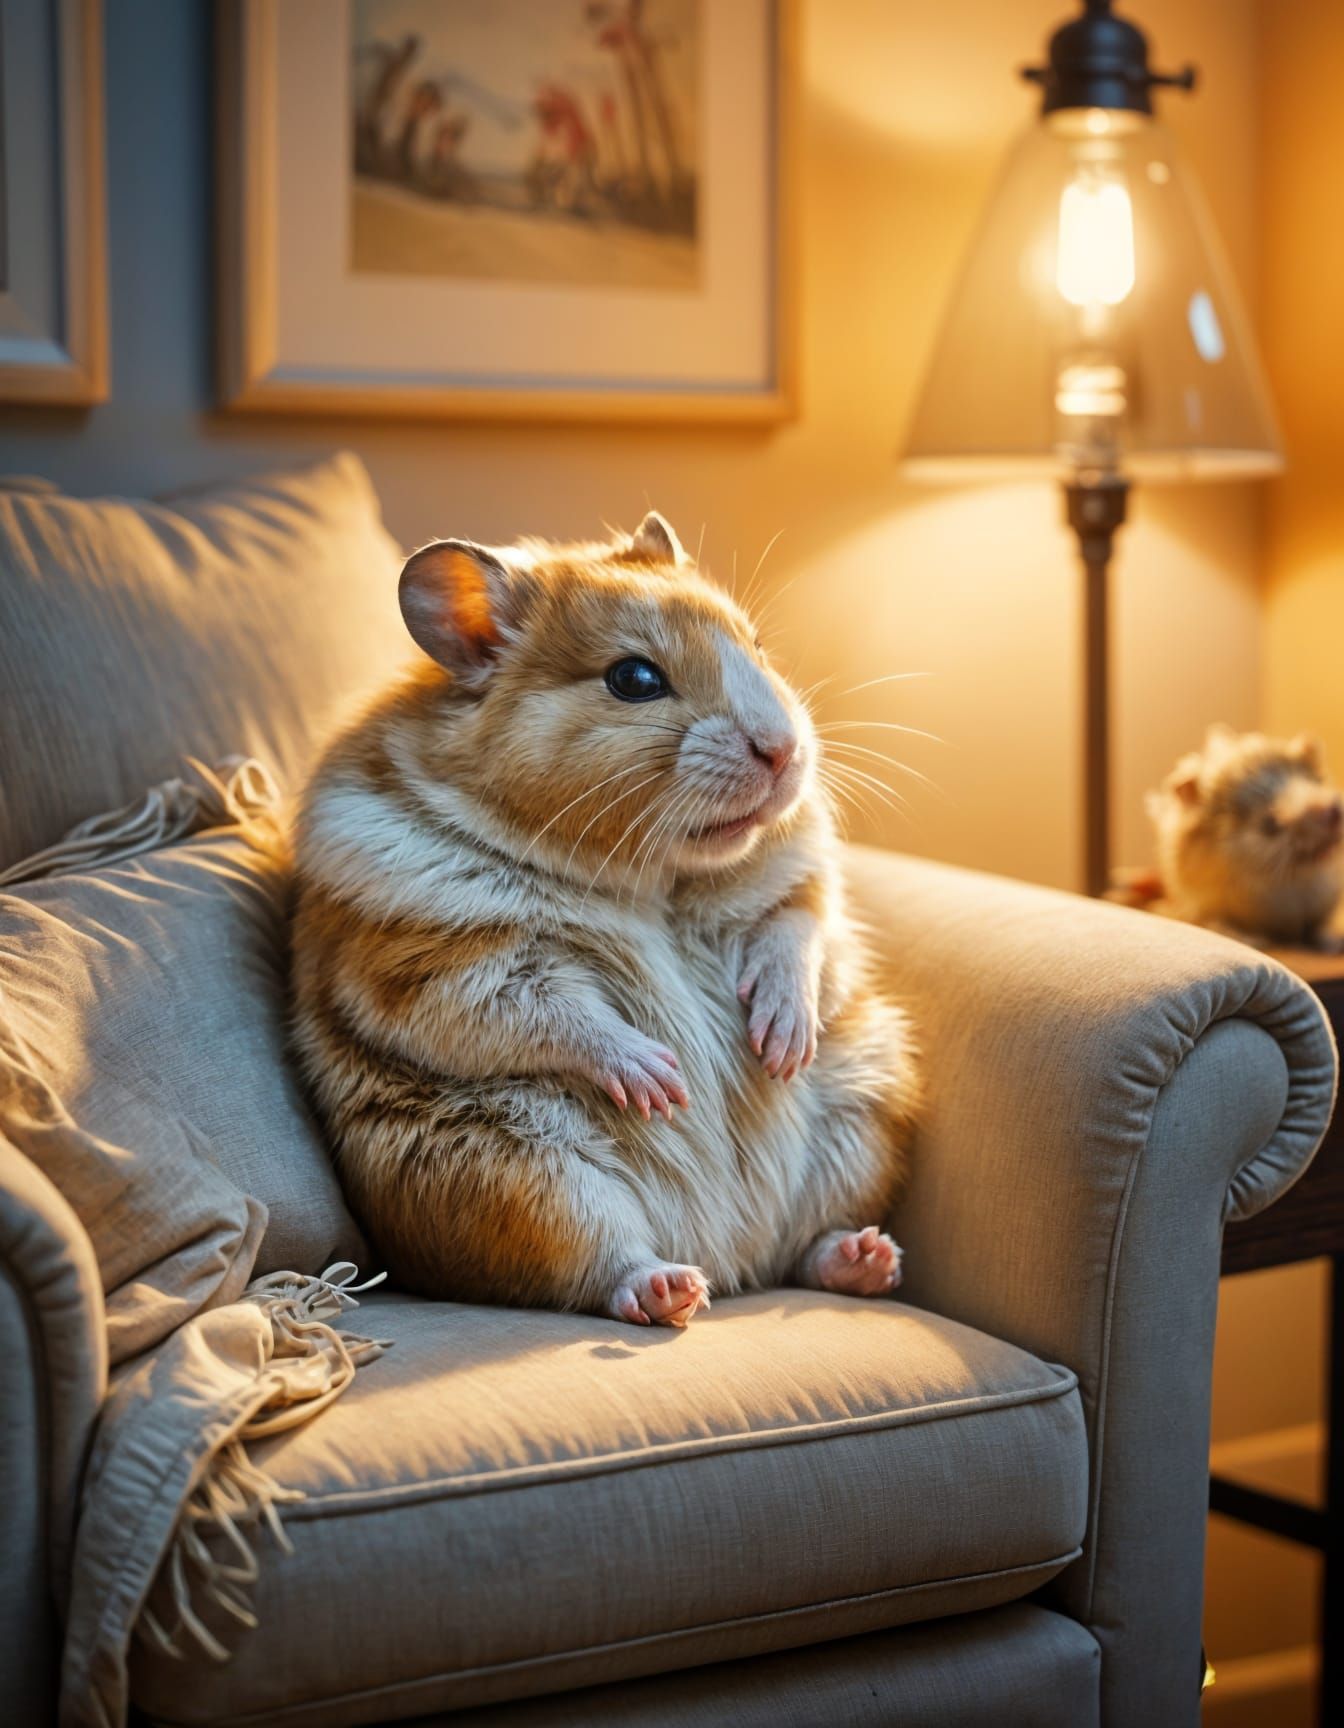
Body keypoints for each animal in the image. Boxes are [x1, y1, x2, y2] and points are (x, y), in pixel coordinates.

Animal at [291, 512, 917, 1327]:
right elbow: (553, 1014)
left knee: (804, 1248)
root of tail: (733, 1257)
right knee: (605, 1263)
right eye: (634, 680)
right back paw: (672, 1288)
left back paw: (869, 1259)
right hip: (517, 1173)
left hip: (860, 1113)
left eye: (755, 645)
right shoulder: (432, 966)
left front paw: (780, 1046)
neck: (653, 880)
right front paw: (664, 1083)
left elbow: (792, 940)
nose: (784, 753)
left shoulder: (799, 892)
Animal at [1143, 724, 1344, 946]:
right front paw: (1251, 939)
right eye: (1270, 824)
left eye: (1315, 782)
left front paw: (1331, 941)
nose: (1333, 811)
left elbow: (1317, 928)